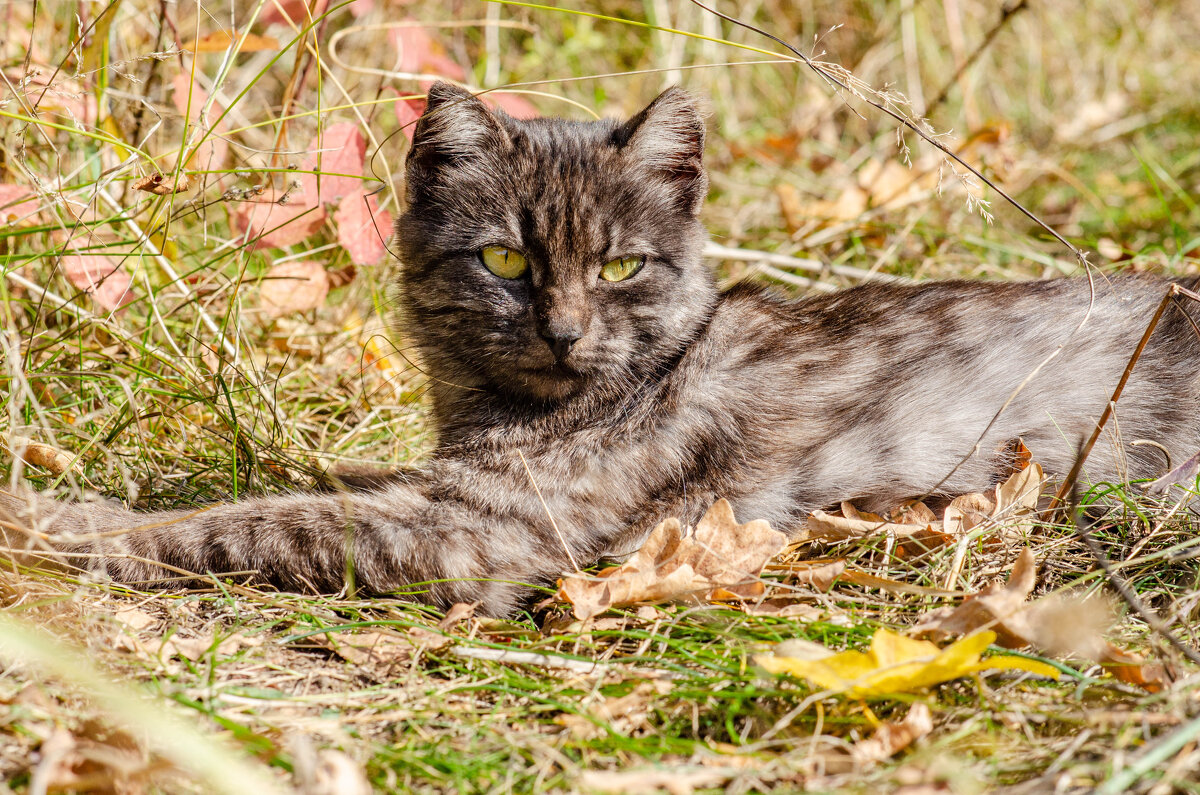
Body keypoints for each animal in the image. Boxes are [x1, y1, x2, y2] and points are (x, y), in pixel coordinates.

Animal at [2, 82, 1200, 614]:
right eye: (507, 261)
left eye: (622, 268)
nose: (565, 331)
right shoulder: (445, 485)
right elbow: (305, 480)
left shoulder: (483, 529)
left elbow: (246, 521)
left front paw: (57, 526)